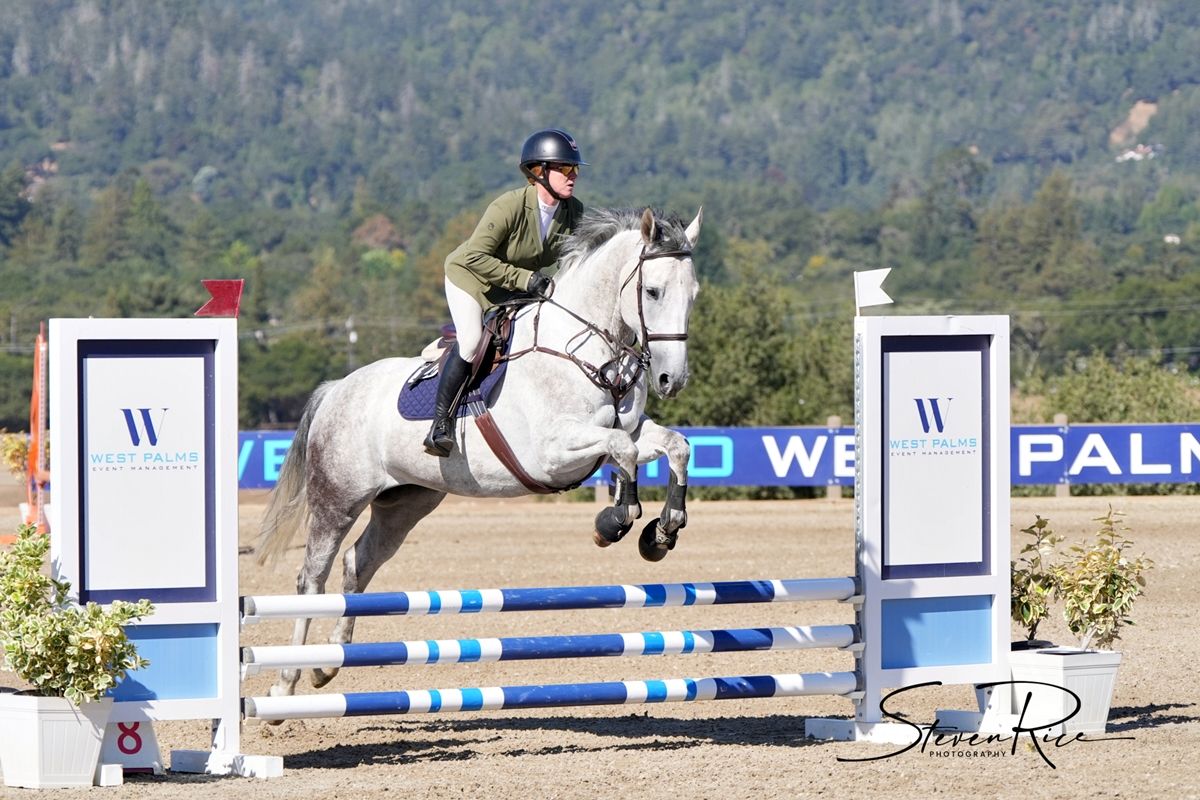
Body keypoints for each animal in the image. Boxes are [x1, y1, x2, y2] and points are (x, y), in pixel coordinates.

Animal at [255, 206, 703, 702]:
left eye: (693, 294)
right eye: (653, 291)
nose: (671, 381)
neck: (583, 349)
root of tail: (336, 389)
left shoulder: (629, 430)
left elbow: (675, 446)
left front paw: (663, 530)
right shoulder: (553, 451)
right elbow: (622, 451)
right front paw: (615, 521)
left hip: (406, 502)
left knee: (359, 562)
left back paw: (328, 666)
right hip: (338, 499)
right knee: (312, 577)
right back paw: (286, 681)